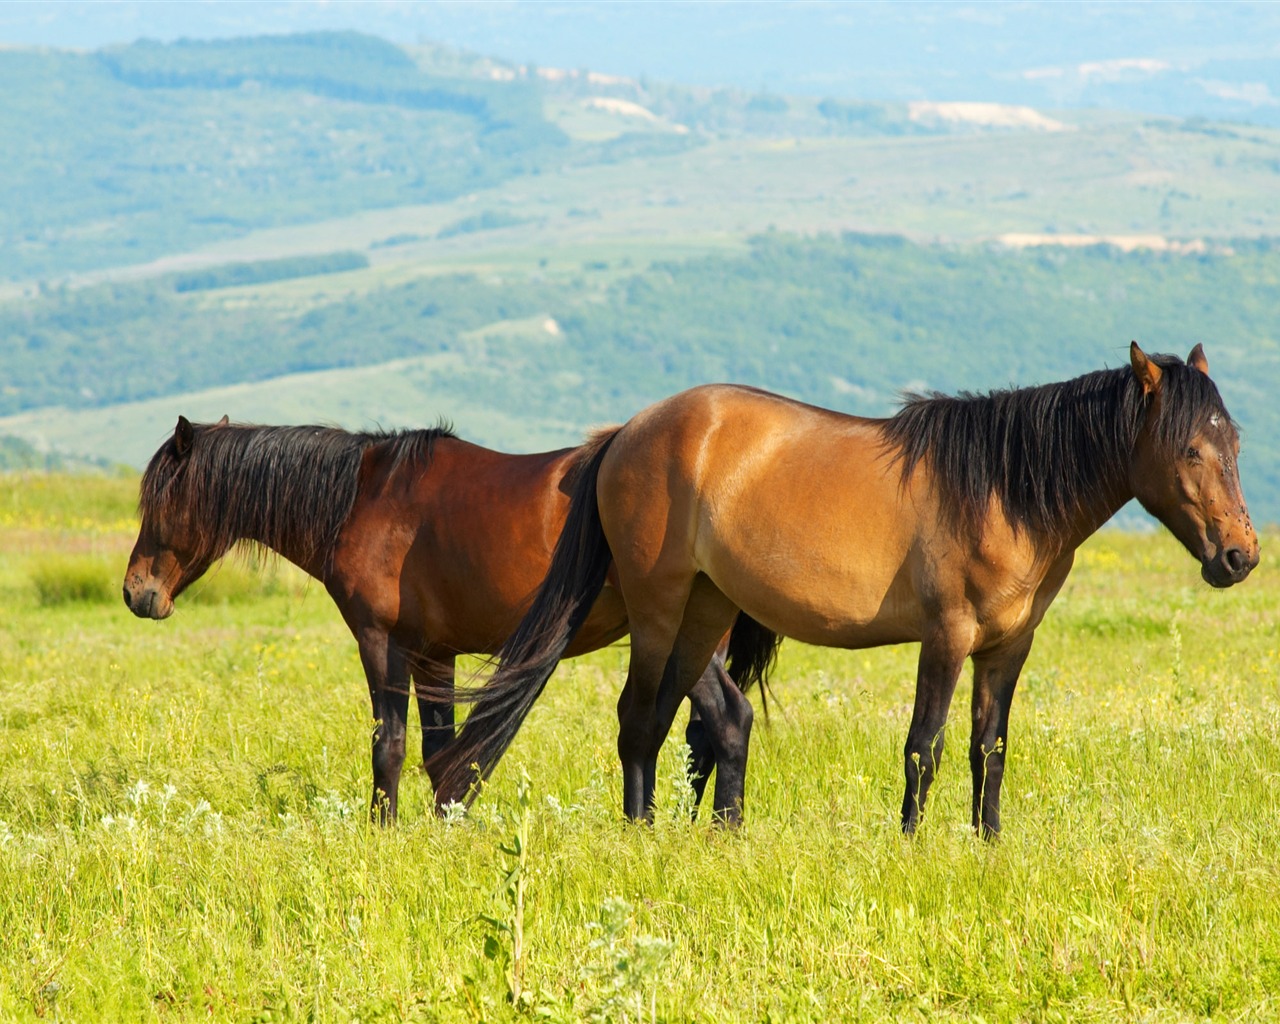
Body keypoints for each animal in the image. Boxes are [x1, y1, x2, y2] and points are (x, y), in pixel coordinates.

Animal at [122, 414, 768, 824]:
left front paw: (381, 830)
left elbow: (390, 745)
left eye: (160, 500)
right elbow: (441, 755)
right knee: (705, 734)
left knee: (727, 720)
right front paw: (445, 826)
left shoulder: (382, 643)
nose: (136, 593)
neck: (361, 499)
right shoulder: (435, 654)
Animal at [430, 343, 1259, 829]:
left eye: (1235, 442)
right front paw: (913, 845)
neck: (1001, 491)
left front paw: (987, 843)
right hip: (658, 607)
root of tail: (625, 434)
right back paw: (640, 837)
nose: (1240, 556)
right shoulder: (946, 637)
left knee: (671, 722)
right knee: (637, 720)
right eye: (1189, 447)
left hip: (705, 611)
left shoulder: (1007, 648)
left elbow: (988, 748)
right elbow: (924, 747)